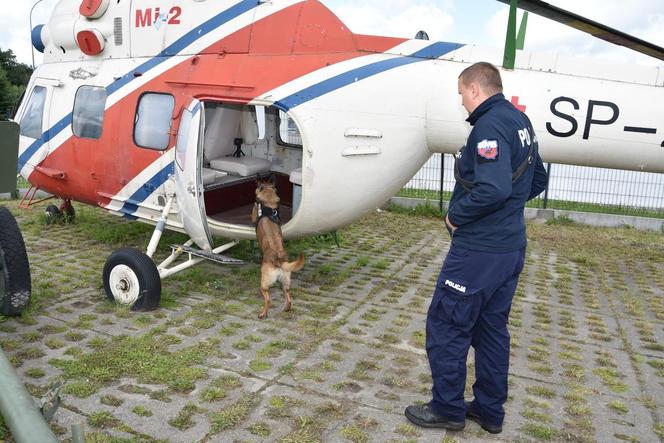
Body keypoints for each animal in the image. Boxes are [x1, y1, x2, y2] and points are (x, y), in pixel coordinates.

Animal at [252, 177, 306, 320]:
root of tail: (279, 261)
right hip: (285, 283)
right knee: (289, 297)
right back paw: (287, 308)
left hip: (264, 284)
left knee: (268, 300)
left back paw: (263, 313)